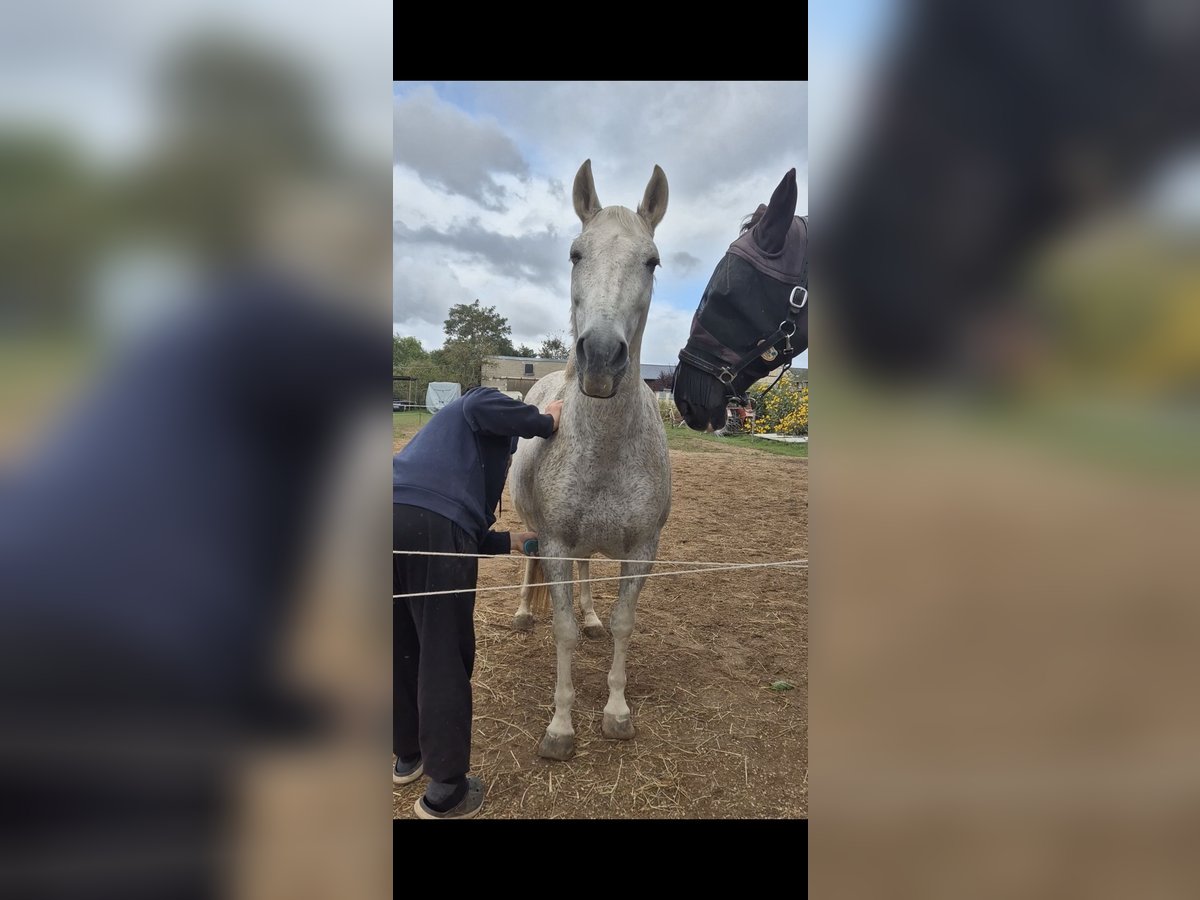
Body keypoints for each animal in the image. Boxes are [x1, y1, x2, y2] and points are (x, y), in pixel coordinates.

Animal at [508, 160, 672, 763]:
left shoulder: (642, 549)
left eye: (652, 261)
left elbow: (624, 624)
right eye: (576, 253)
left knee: (586, 576)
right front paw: (560, 726)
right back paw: (522, 612)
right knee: (529, 557)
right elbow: (563, 632)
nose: (600, 357)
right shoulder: (556, 542)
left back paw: (592, 613)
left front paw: (617, 712)